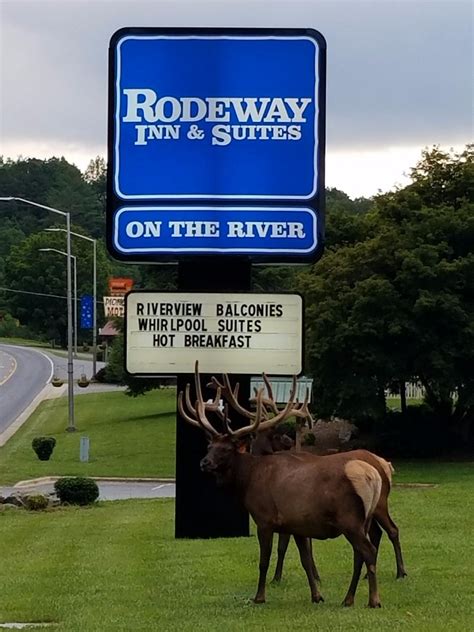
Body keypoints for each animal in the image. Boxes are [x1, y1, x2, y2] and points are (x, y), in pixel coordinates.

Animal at [180, 362, 384, 608]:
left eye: (227, 449)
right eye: (210, 446)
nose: (204, 463)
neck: (248, 480)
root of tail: (373, 476)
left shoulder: (265, 519)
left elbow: (263, 561)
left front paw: (259, 596)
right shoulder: (296, 525)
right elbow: (305, 561)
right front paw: (317, 595)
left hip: (350, 519)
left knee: (368, 551)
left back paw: (374, 600)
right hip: (363, 519)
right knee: (359, 555)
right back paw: (348, 598)